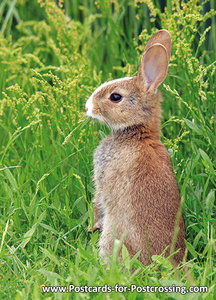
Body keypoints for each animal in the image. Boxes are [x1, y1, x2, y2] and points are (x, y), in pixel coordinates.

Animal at [85, 29, 186, 264]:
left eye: (115, 97)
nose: (87, 107)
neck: (136, 133)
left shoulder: (104, 181)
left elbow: (99, 200)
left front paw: (92, 225)